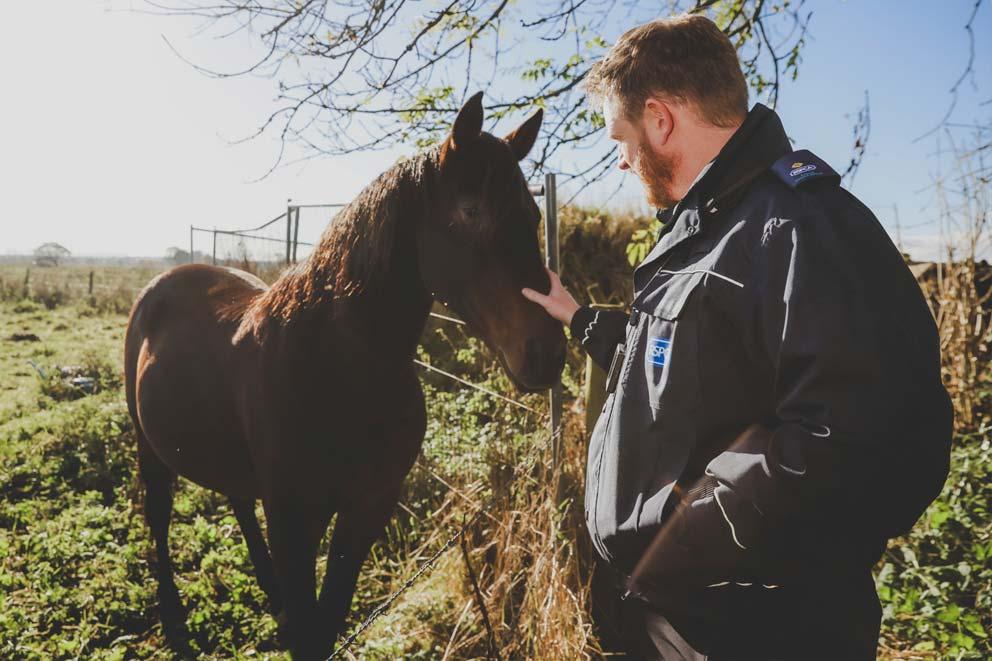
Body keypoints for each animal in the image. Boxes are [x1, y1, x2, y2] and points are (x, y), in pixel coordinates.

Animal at [126, 91, 564, 656]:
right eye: (471, 211)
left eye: (533, 212)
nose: (547, 351)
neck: (337, 367)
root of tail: (162, 283)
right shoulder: (294, 521)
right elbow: (309, 632)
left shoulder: (366, 511)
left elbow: (327, 620)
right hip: (149, 444)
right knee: (158, 515)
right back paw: (175, 613)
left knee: (238, 502)